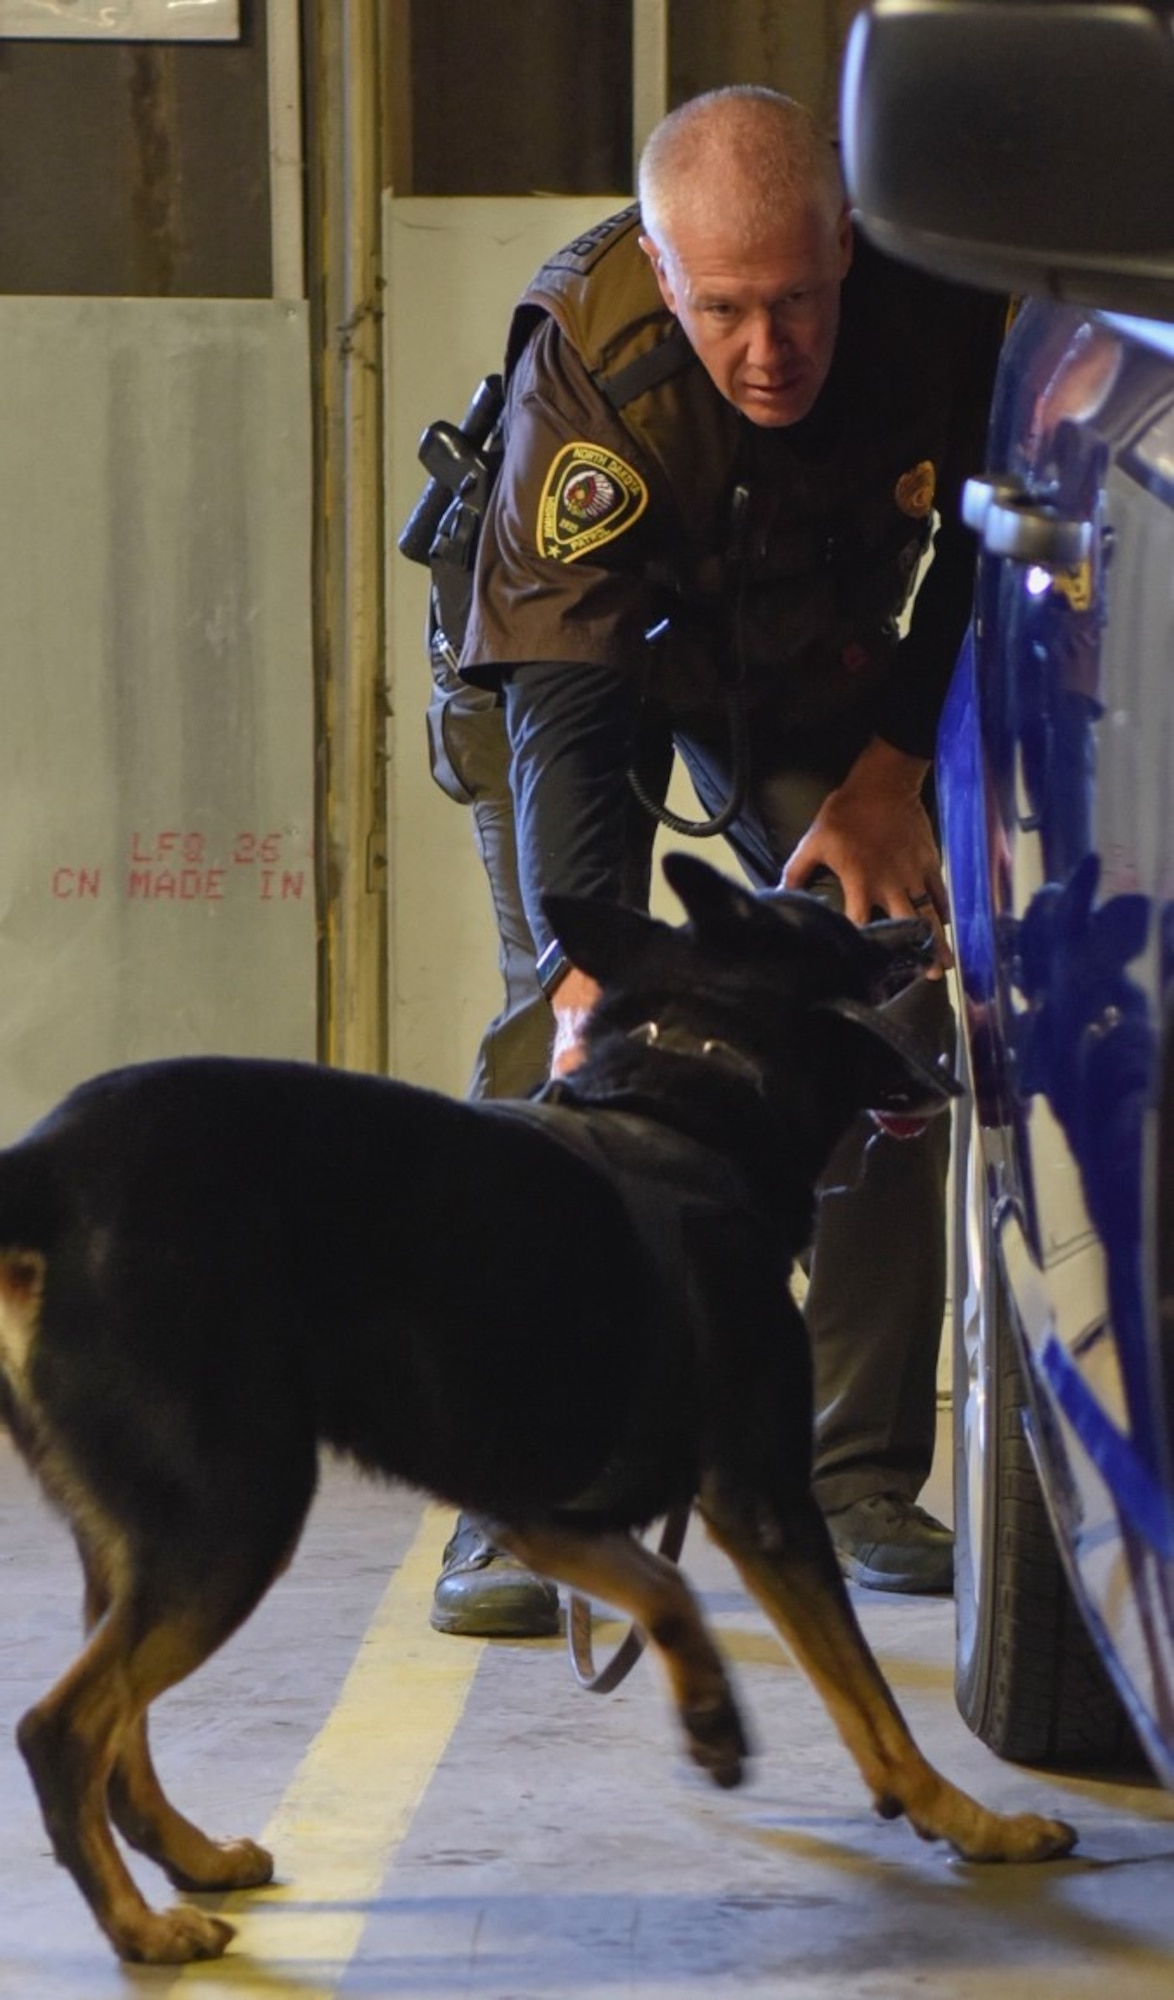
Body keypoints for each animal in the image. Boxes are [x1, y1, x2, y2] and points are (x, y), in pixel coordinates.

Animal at [0, 852, 1080, 1960]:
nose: (922, 923)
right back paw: (138, 1923)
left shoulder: (543, 1509)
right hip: (233, 1515)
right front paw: (972, 1821)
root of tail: (39, 1168)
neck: (690, 1100)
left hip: (147, 1537)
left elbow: (664, 1584)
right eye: (837, 926)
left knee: (119, 1731)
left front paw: (711, 1705)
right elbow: (865, 1695)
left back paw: (192, 1857)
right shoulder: (762, 1499)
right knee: (63, 1726)